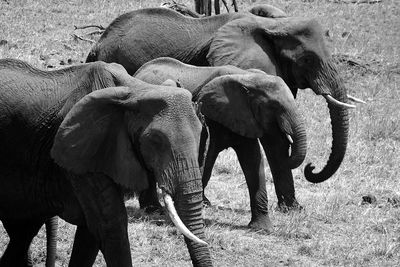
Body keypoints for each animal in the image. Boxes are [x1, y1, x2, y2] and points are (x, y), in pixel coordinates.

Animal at [0, 59, 212, 266]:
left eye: (201, 134)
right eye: (155, 140)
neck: (136, 90)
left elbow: (90, 236)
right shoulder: (83, 148)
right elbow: (110, 227)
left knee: (22, 234)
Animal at [133, 57, 308, 232]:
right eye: (274, 106)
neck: (247, 77)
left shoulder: (242, 116)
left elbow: (254, 159)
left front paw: (263, 227)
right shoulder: (212, 114)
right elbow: (207, 157)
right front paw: (199, 205)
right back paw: (152, 208)